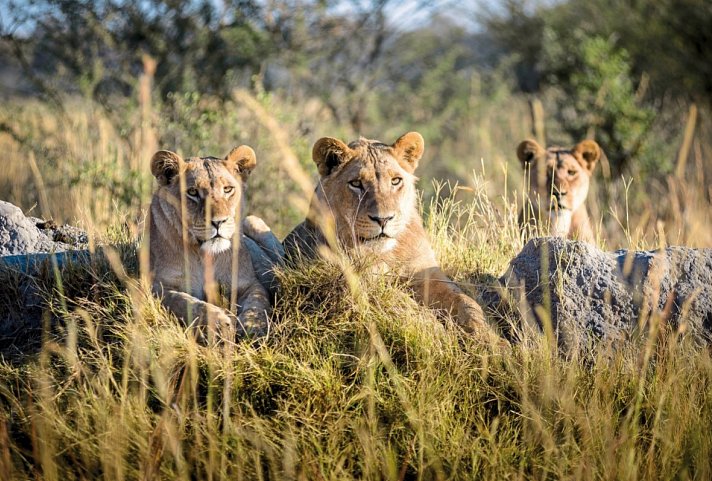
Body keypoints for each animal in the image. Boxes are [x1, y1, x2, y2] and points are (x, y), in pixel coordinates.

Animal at [149, 146, 272, 338]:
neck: (204, 254)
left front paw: (253, 327)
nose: (218, 222)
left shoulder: (249, 283)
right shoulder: (158, 286)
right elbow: (186, 303)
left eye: (228, 189)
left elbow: (258, 303)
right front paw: (220, 324)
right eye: (192, 192)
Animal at [284, 131, 500, 342]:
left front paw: (492, 341)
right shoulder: (357, 279)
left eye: (396, 181)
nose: (383, 219)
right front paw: (436, 331)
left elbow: (466, 302)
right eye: (356, 183)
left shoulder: (426, 273)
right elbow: (402, 301)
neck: (387, 254)